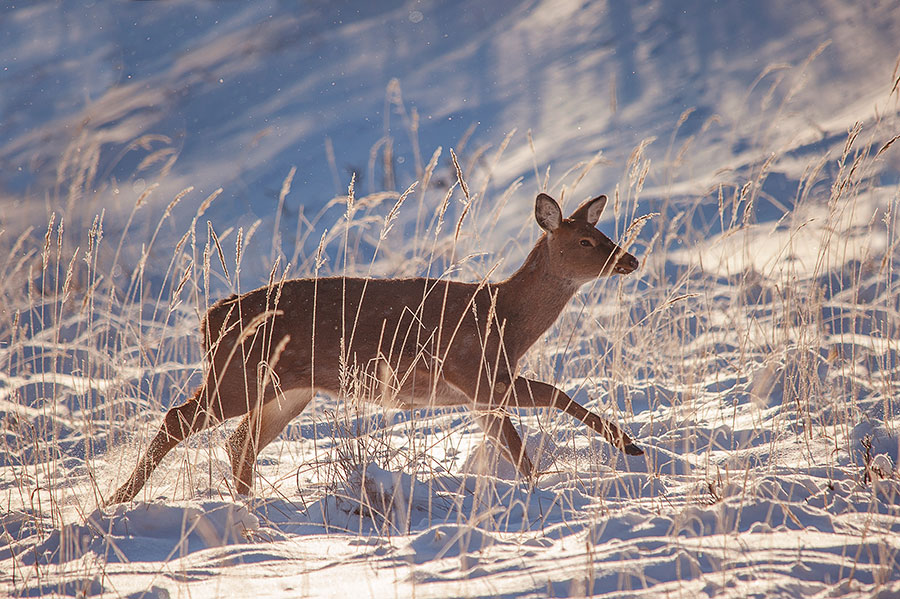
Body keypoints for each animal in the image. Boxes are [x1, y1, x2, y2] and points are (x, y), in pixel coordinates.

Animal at [109, 193, 644, 506]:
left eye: (603, 233)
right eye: (586, 240)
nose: (631, 260)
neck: (504, 318)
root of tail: (210, 318)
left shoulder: (478, 393)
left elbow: (519, 435)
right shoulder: (473, 370)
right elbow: (551, 398)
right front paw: (626, 447)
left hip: (288, 389)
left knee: (241, 440)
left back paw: (247, 504)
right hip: (237, 377)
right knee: (179, 418)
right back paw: (119, 500)